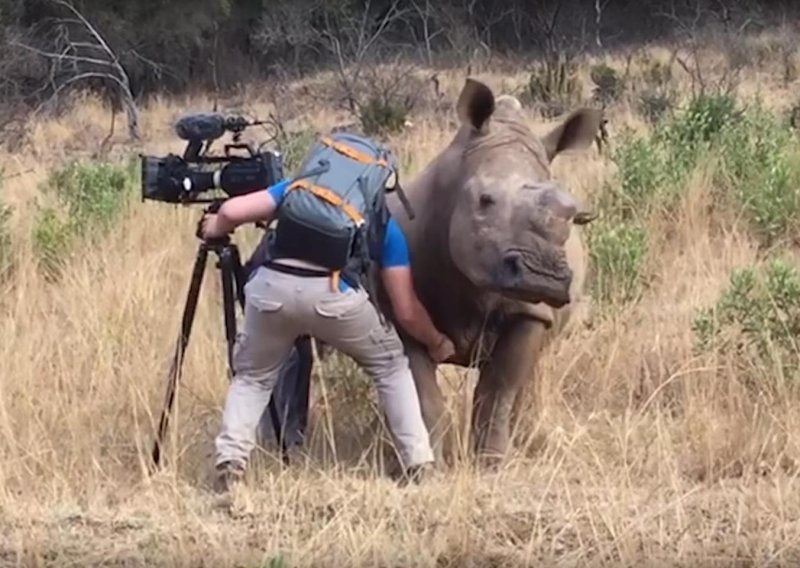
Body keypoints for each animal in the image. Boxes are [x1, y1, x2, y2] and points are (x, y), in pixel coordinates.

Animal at [256, 77, 600, 468]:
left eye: (572, 215)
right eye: (485, 201)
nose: (543, 276)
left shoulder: (531, 311)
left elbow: (498, 390)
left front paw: (492, 464)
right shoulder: (400, 312)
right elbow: (423, 393)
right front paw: (435, 462)